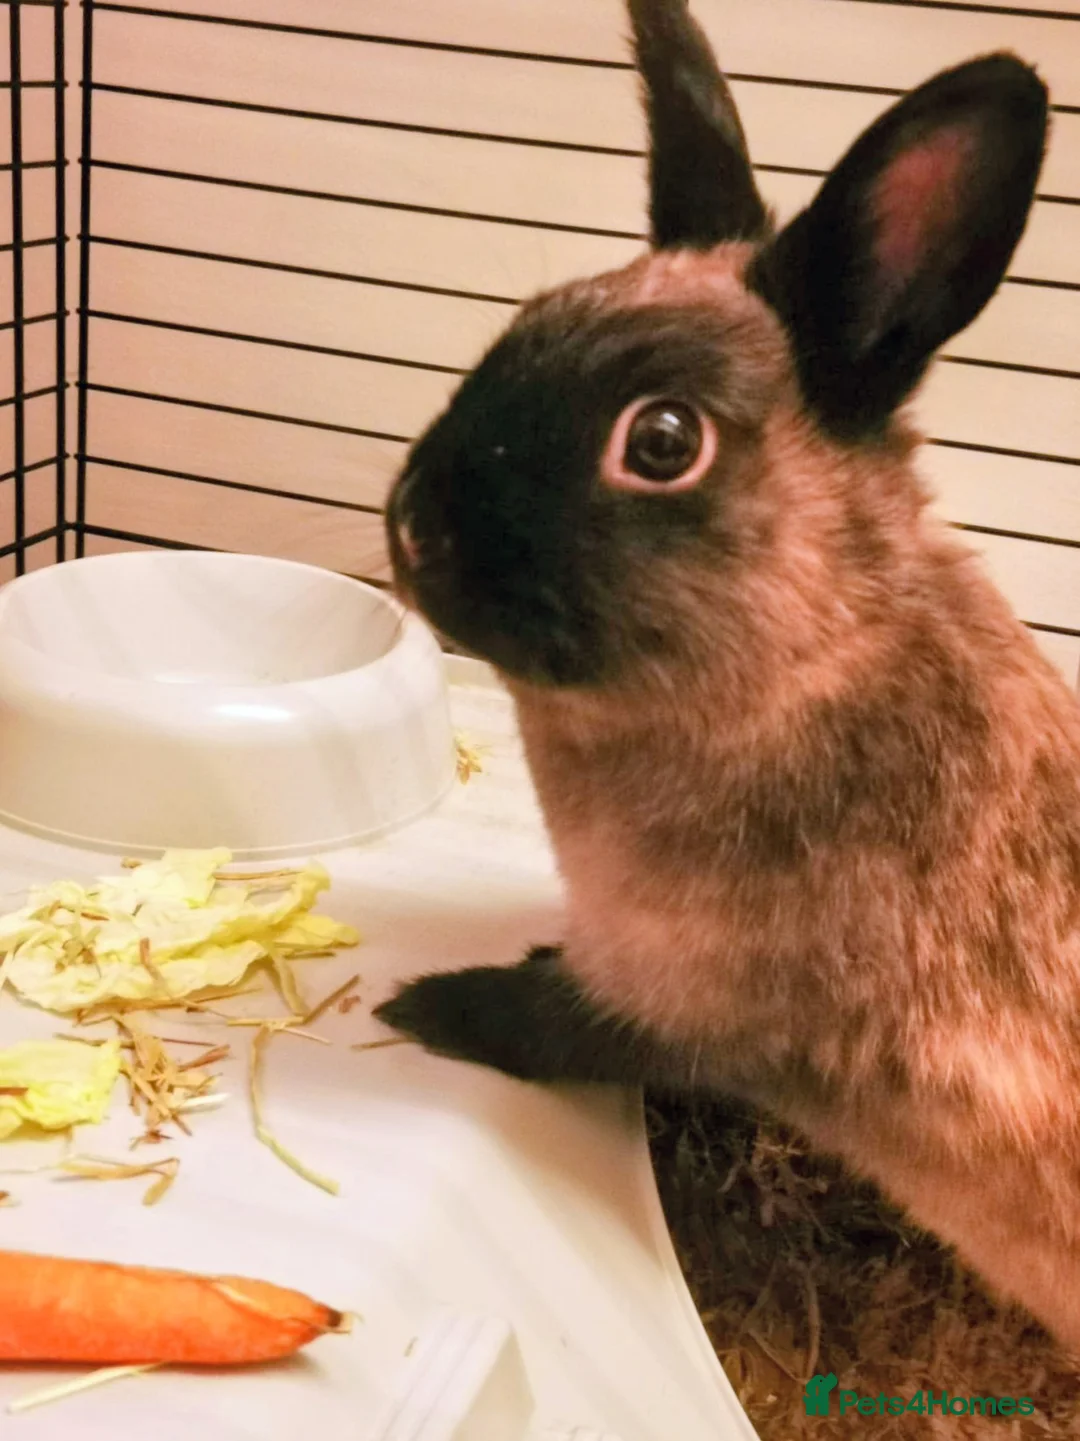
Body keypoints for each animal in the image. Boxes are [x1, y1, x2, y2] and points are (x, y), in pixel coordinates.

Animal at [374, 0, 1080, 1355]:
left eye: (662, 442)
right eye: (517, 327)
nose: (415, 526)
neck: (804, 658)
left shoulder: (699, 1007)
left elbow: (548, 1025)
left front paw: (423, 1005)